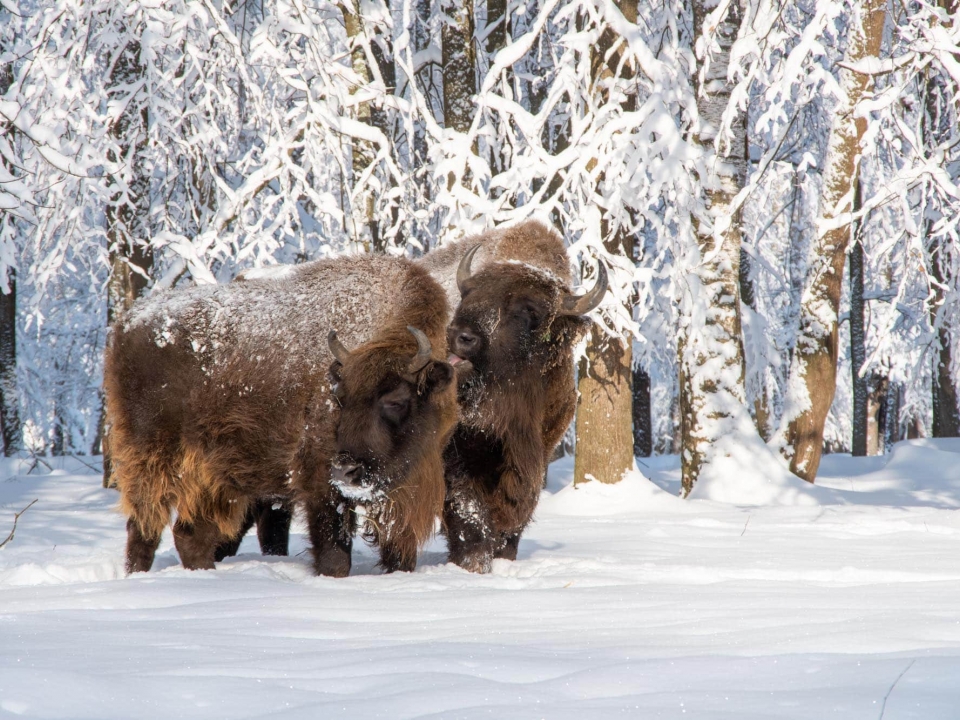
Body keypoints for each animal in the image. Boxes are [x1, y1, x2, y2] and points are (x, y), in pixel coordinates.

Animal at [107, 256, 460, 576]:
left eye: (396, 401)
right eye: (340, 398)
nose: (346, 470)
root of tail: (126, 323)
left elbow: (399, 553)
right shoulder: (321, 482)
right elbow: (334, 556)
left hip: (216, 479)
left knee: (191, 535)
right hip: (153, 458)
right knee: (144, 528)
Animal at [414, 219, 608, 572]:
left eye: (527, 309)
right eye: (468, 294)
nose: (458, 336)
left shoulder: (537, 453)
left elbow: (516, 514)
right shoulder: (456, 458)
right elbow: (469, 516)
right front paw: (473, 564)